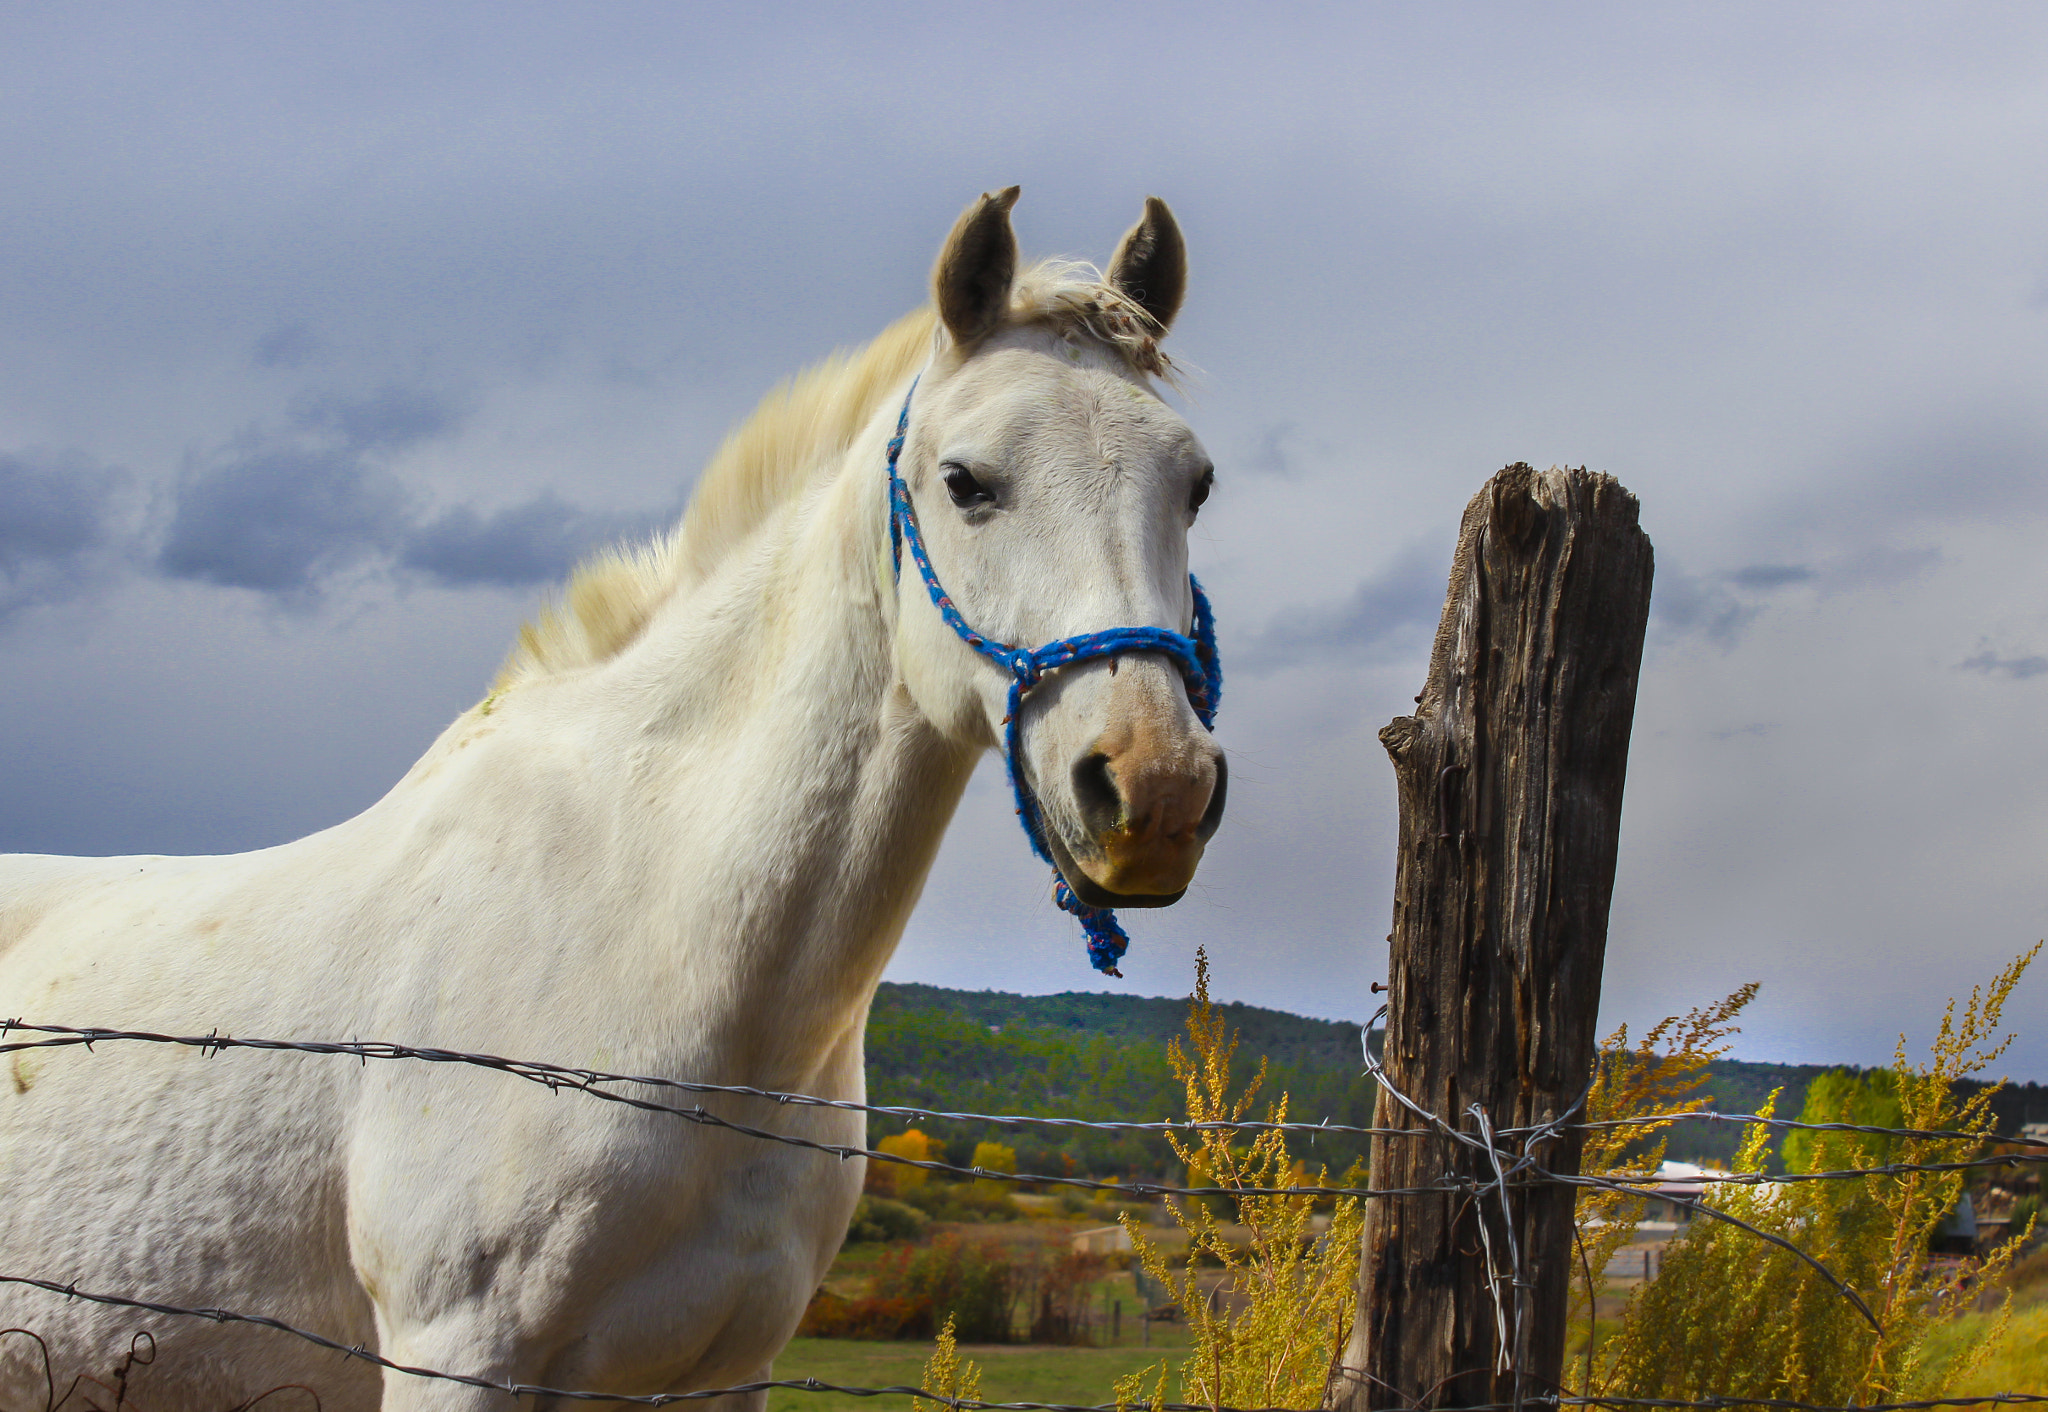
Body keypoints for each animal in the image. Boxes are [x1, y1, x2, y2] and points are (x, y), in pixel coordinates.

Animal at [0, 187, 1212, 1409]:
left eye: (1194, 485)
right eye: (966, 481)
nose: (1154, 787)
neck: (653, 930)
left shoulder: (726, 1371)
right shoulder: (452, 1353)